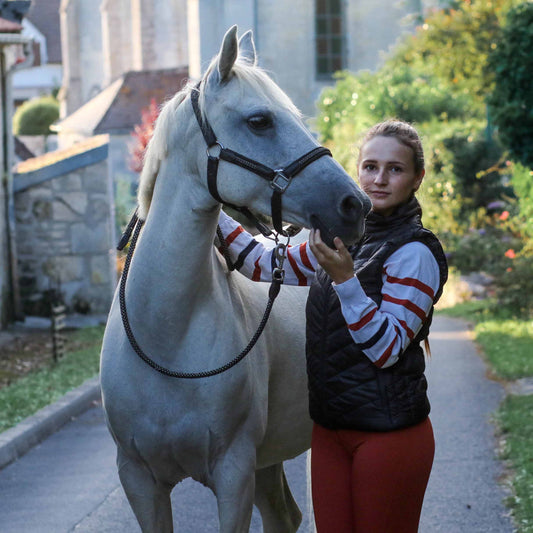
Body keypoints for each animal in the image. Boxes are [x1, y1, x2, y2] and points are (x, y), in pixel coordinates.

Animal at [100, 26, 368, 532]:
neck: (166, 337)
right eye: (260, 121)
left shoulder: (233, 473)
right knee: (284, 516)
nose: (354, 204)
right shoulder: (138, 479)